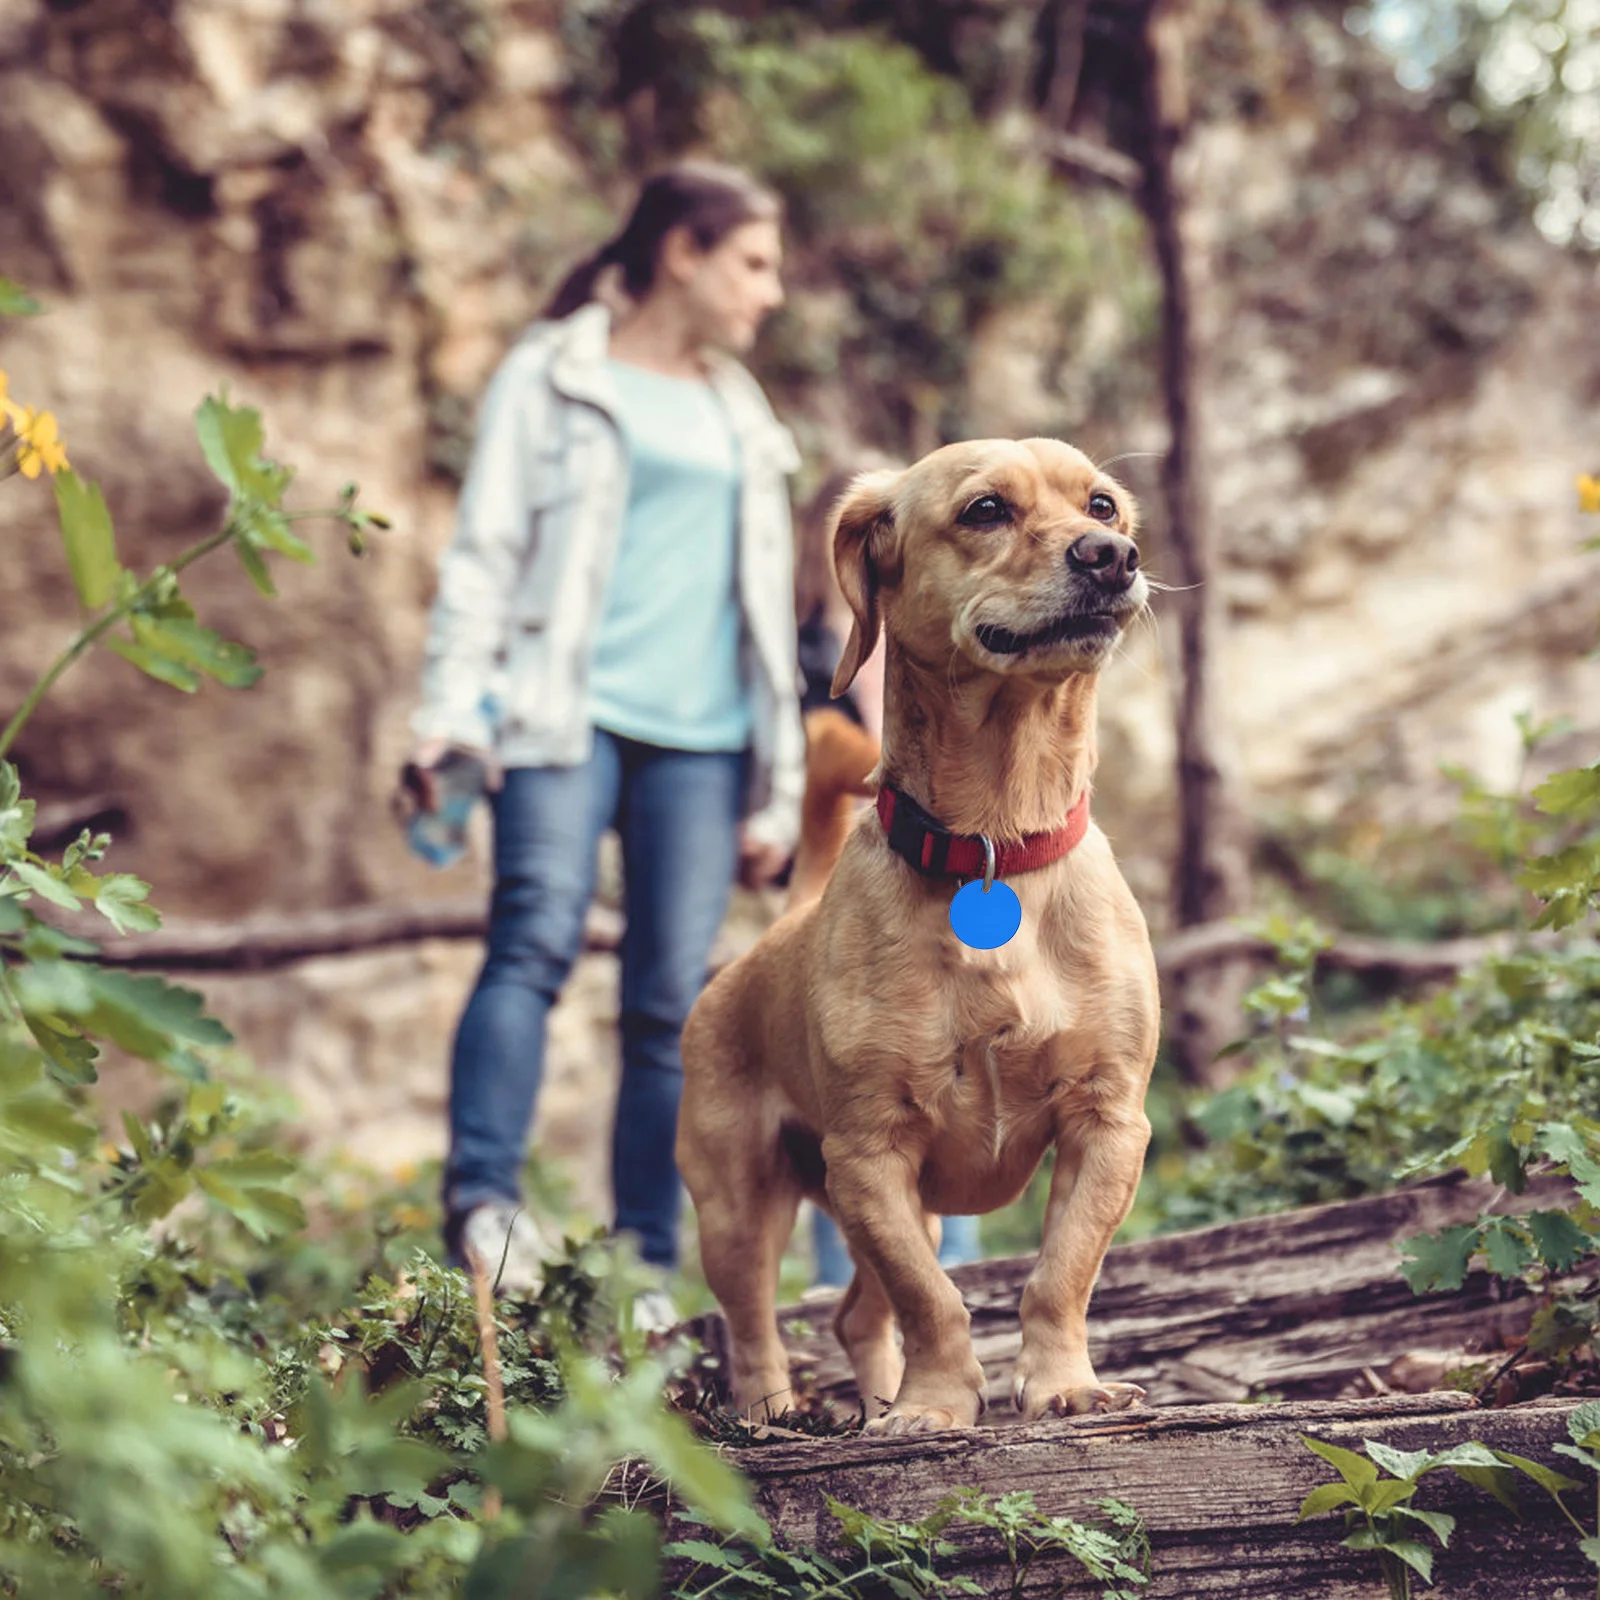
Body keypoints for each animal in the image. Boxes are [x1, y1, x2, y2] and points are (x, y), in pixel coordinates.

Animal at [678, 441, 1164, 1440]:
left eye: (1102, 505)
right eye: (985, 510)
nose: (1111, 556)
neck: (997, 845)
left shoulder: (1107, 1123)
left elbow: (1059, 1275)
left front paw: (1063, 1386)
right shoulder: (870, 1154)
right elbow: (934, 1302)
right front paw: (938, 1404)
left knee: (858, 1316)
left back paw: (872, 1401)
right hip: (741, 1211)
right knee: (755, 1325)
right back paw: (774, 1414)